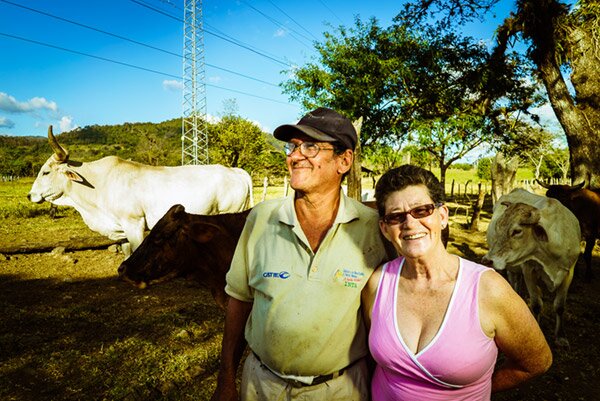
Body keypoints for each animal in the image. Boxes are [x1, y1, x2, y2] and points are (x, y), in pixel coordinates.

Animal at [28, 126, 253, 255]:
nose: (30, 195)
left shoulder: (134, 224)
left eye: (46, 172)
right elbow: (126, 252)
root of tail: (235, 171)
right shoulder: (121, 229)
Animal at [482, 189, 580, 346]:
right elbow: (536, 304)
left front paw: (560, 336)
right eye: (498, 227)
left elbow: (559, 306)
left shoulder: (569, 272)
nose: (487, 260)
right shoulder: (528, 270)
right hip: (512, 269)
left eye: (517, 231)